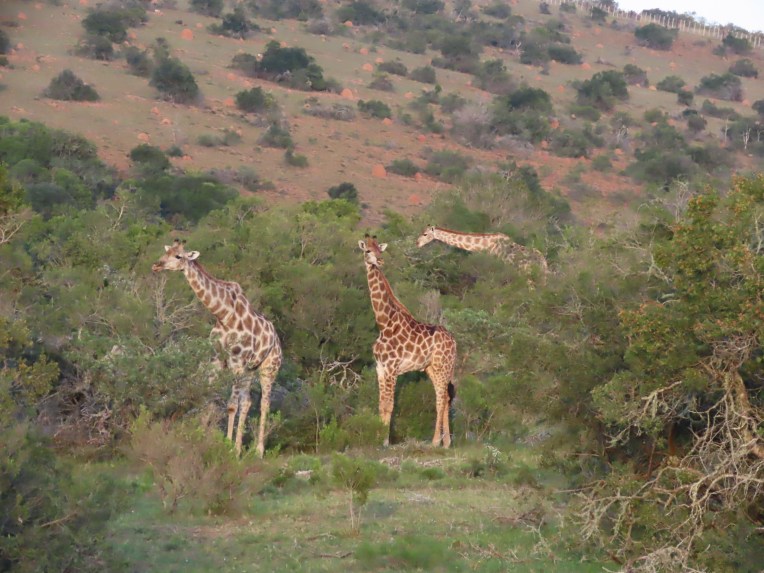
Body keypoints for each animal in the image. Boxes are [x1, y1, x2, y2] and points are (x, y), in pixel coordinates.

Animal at [152, 239, 282, 457]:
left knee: (264, 403)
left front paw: (229, 448)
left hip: (268, 369)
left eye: (178, 256)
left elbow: (230, 406)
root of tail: (278, 341)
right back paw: (241, 447)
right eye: (166, 252)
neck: (223, 315)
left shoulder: (236, 363)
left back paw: (258, 451)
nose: (156, 265)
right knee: (247, 402)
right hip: (250, 370)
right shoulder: (215, 360)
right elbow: (208, 400)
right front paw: (201, 439)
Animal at [358, 235, 457, 447]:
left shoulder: (391, 368)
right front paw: (377, 439)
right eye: (368, 251)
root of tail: (454, 341)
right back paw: (446, 443)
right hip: (432, 368)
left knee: (441, 399)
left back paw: (435, 442)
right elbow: (381, 405)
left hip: (442, 366)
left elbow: (389, 405)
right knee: (445, 397)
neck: (384, 323)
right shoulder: (380, 368)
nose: (380, 261)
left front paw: (384, 442)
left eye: (380, 250)